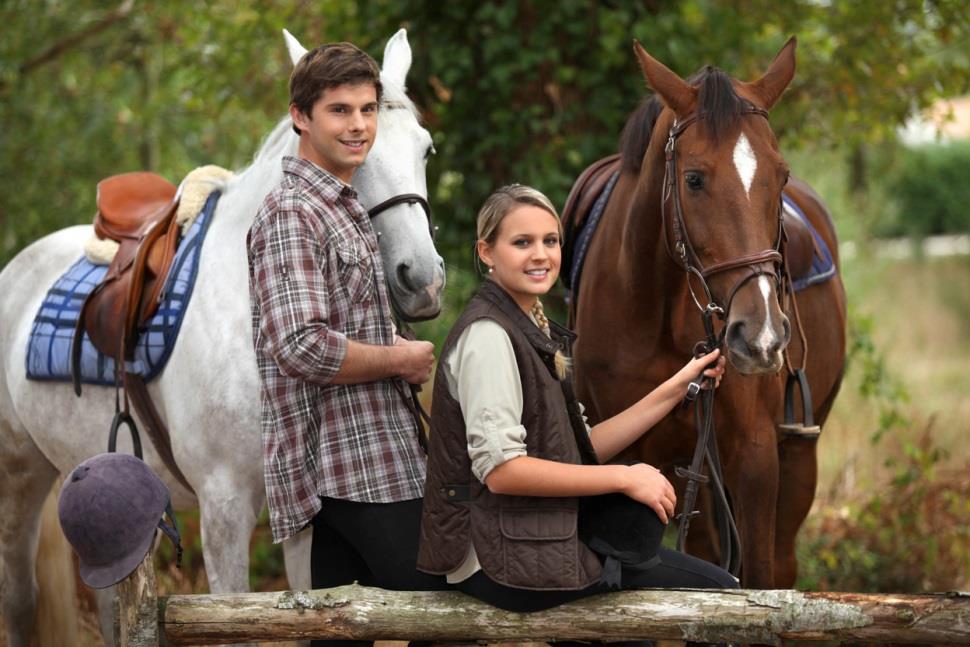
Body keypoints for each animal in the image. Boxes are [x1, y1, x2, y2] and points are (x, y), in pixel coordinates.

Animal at [0, 27, 442, 644]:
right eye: (357, 148)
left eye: (424, 149)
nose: (421, 280)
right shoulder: (225, 506)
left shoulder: (306, 511)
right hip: (17, 474)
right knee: (19, 600)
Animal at [572, 38, 844, 588]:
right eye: (694, 179)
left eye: (781, 175)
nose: (761, 337)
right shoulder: (626, 456)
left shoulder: (756, 457)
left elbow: (757, 576)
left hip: (797, 457)